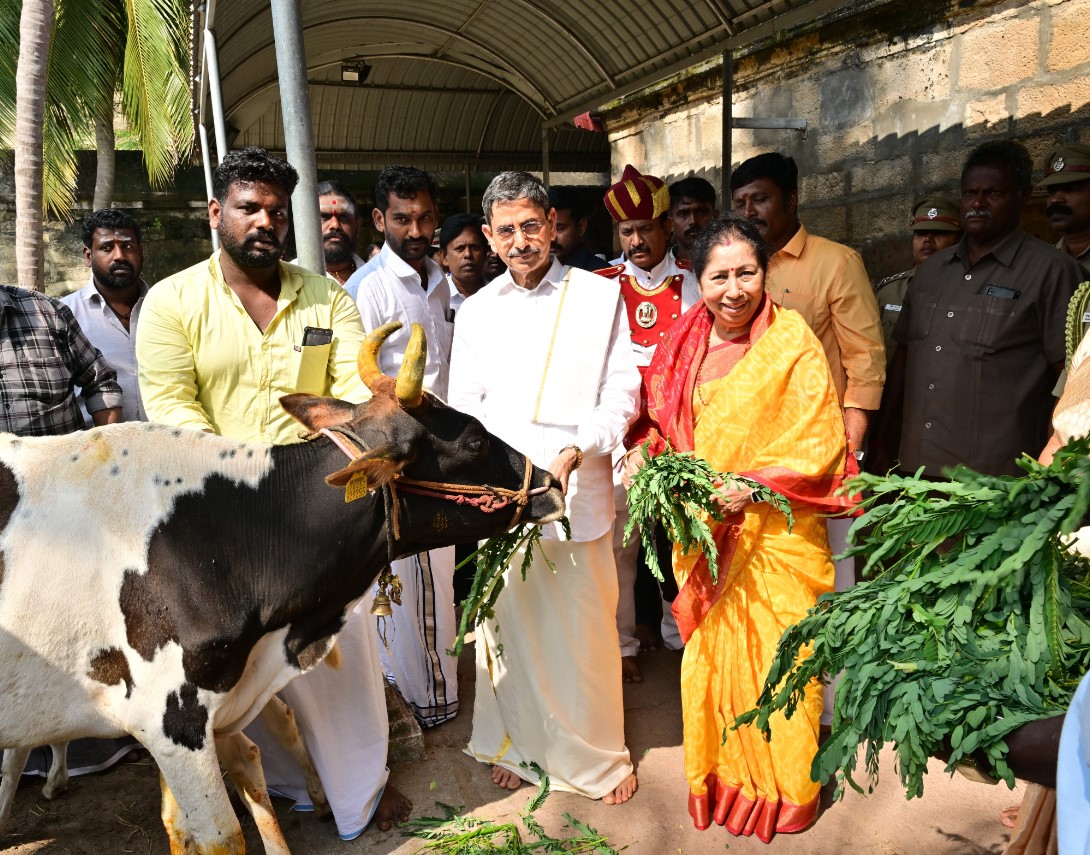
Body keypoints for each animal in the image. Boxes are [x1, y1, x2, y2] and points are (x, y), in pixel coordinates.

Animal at [0, 324, 562, 850]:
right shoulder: (169, 720)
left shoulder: (228, 698)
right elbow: (218, 832)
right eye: (474, 440)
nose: (552, 482)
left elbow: (248, 774)